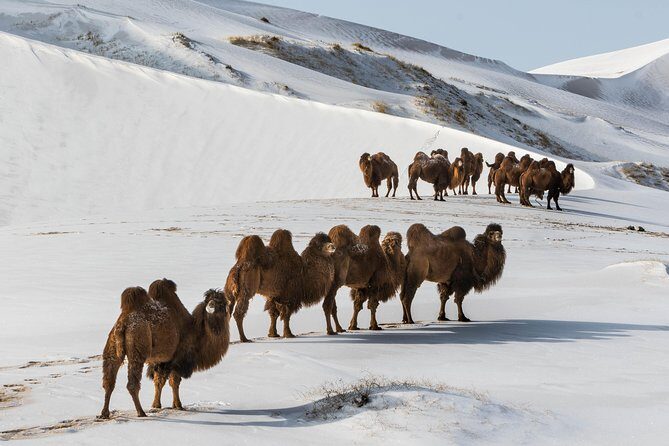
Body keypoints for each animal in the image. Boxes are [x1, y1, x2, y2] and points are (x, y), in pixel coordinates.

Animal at [100, 287, 230, 419]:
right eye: (210, 300)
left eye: (222, 302)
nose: (211, 304)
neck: (194, 331)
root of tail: (123, 323)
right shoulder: (176, 358)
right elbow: (172, 381)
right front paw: (176, 405)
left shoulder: (160, 361)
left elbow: (159, 381)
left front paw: (158, 405)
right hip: (137, 349)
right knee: (132, 384)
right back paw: (141, 412)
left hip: (111, 348)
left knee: (109, 381)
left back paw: (104, 413)